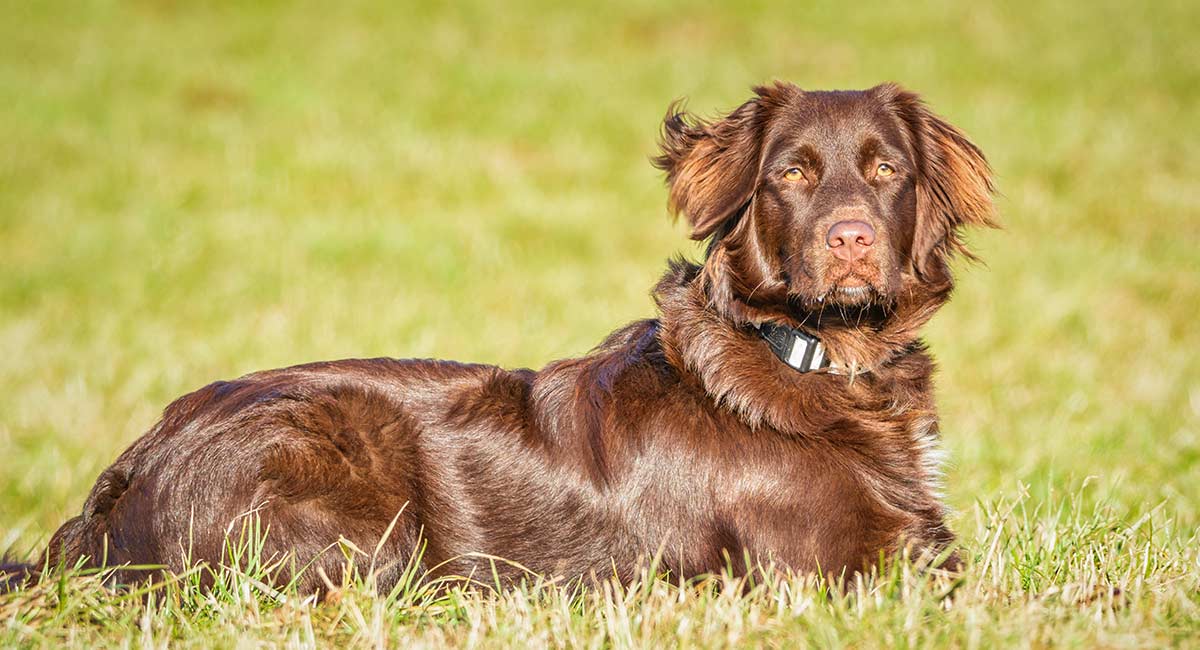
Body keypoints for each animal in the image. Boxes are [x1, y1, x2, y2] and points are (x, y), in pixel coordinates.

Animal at [9, 82, 998, 597]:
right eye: (792, 174)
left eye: (886, 169)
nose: (850, 238)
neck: (821, 355)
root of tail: (127, 471)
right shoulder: (841, 567)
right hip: (355, 510)